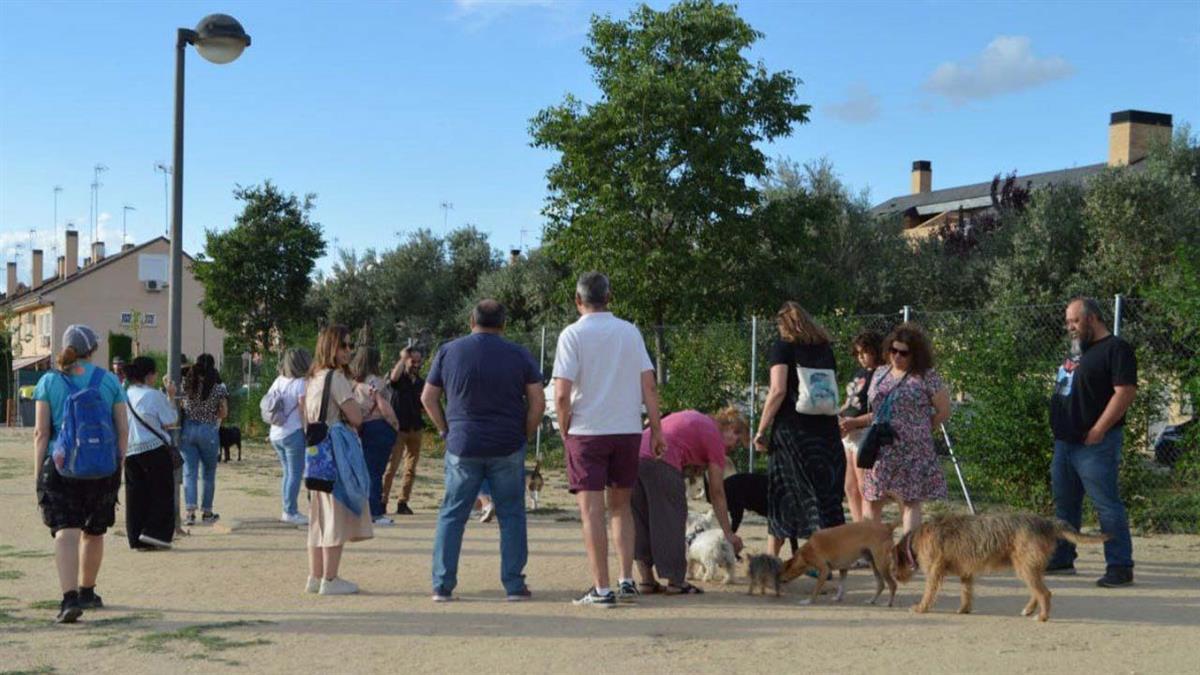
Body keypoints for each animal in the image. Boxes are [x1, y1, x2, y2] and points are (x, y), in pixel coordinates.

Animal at [897, 509, 1108, 619]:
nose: (897, 580)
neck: (914, 540)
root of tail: (1046, 523)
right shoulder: (966, 573)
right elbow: (966, 592)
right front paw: (964, 609)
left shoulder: (934, 572)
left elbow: (929, 593)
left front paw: (921, 608)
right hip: (1030, 568)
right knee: (1037, 591)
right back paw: (1029, 610)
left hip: (1025, 568)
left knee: (1044, 593)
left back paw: (1042, 617)